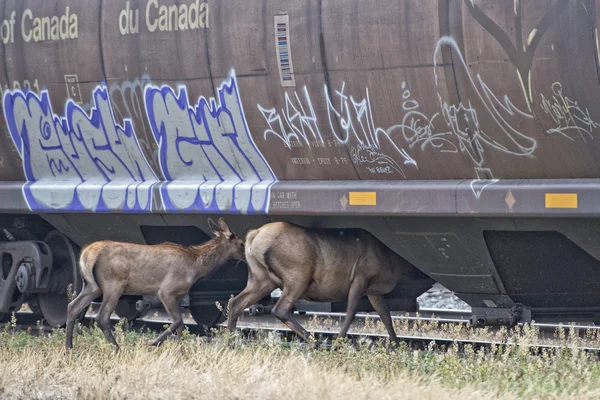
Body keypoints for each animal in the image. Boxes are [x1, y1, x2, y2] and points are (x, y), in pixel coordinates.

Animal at [65, 217, 244, 352]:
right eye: (241, 243)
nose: (247, 253)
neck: (196, 268)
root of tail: (87, 253)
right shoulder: (166, 290)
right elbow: (178, 321)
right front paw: (153, 343)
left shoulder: (179, 295)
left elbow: (180, 324)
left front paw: (178, 349)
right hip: (113, 284)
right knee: (101, 317)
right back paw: (117, 348)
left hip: (91, 286)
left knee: (73, 306)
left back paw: (69, 347)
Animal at [226, 220, 426, 342]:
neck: (395, 263)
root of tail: (253, 236)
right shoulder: (361, 276)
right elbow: (351, 312)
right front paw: (339, 341)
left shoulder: (373, 291)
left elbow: (386, 317)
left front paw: (396, 343)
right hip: (297, 275)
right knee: (280, 309)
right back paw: (314, 341)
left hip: (261, 278)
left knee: (235, 302)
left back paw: (230, 339)